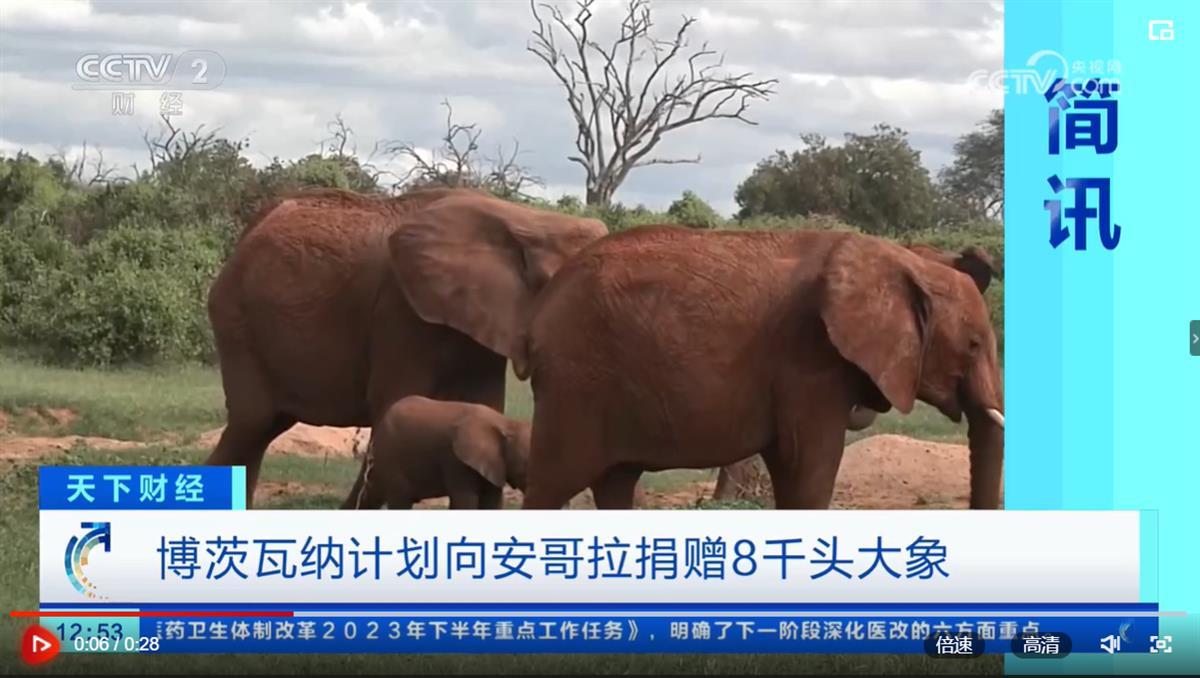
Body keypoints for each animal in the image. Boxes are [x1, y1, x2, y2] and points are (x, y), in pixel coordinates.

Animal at [342, 395, 530, 510]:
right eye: (525, 469)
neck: (506, 423)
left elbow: (492, 502)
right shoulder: (456, 461)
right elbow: (465, 501)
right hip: (392, 458)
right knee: (400, 500)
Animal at [519, 226, 1004, 510]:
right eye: (973, 345)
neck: (900, 260)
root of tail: (540, 309)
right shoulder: (809, 358)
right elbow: (806, 467)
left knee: (615, 482)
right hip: (576, 382)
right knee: (550, 485)